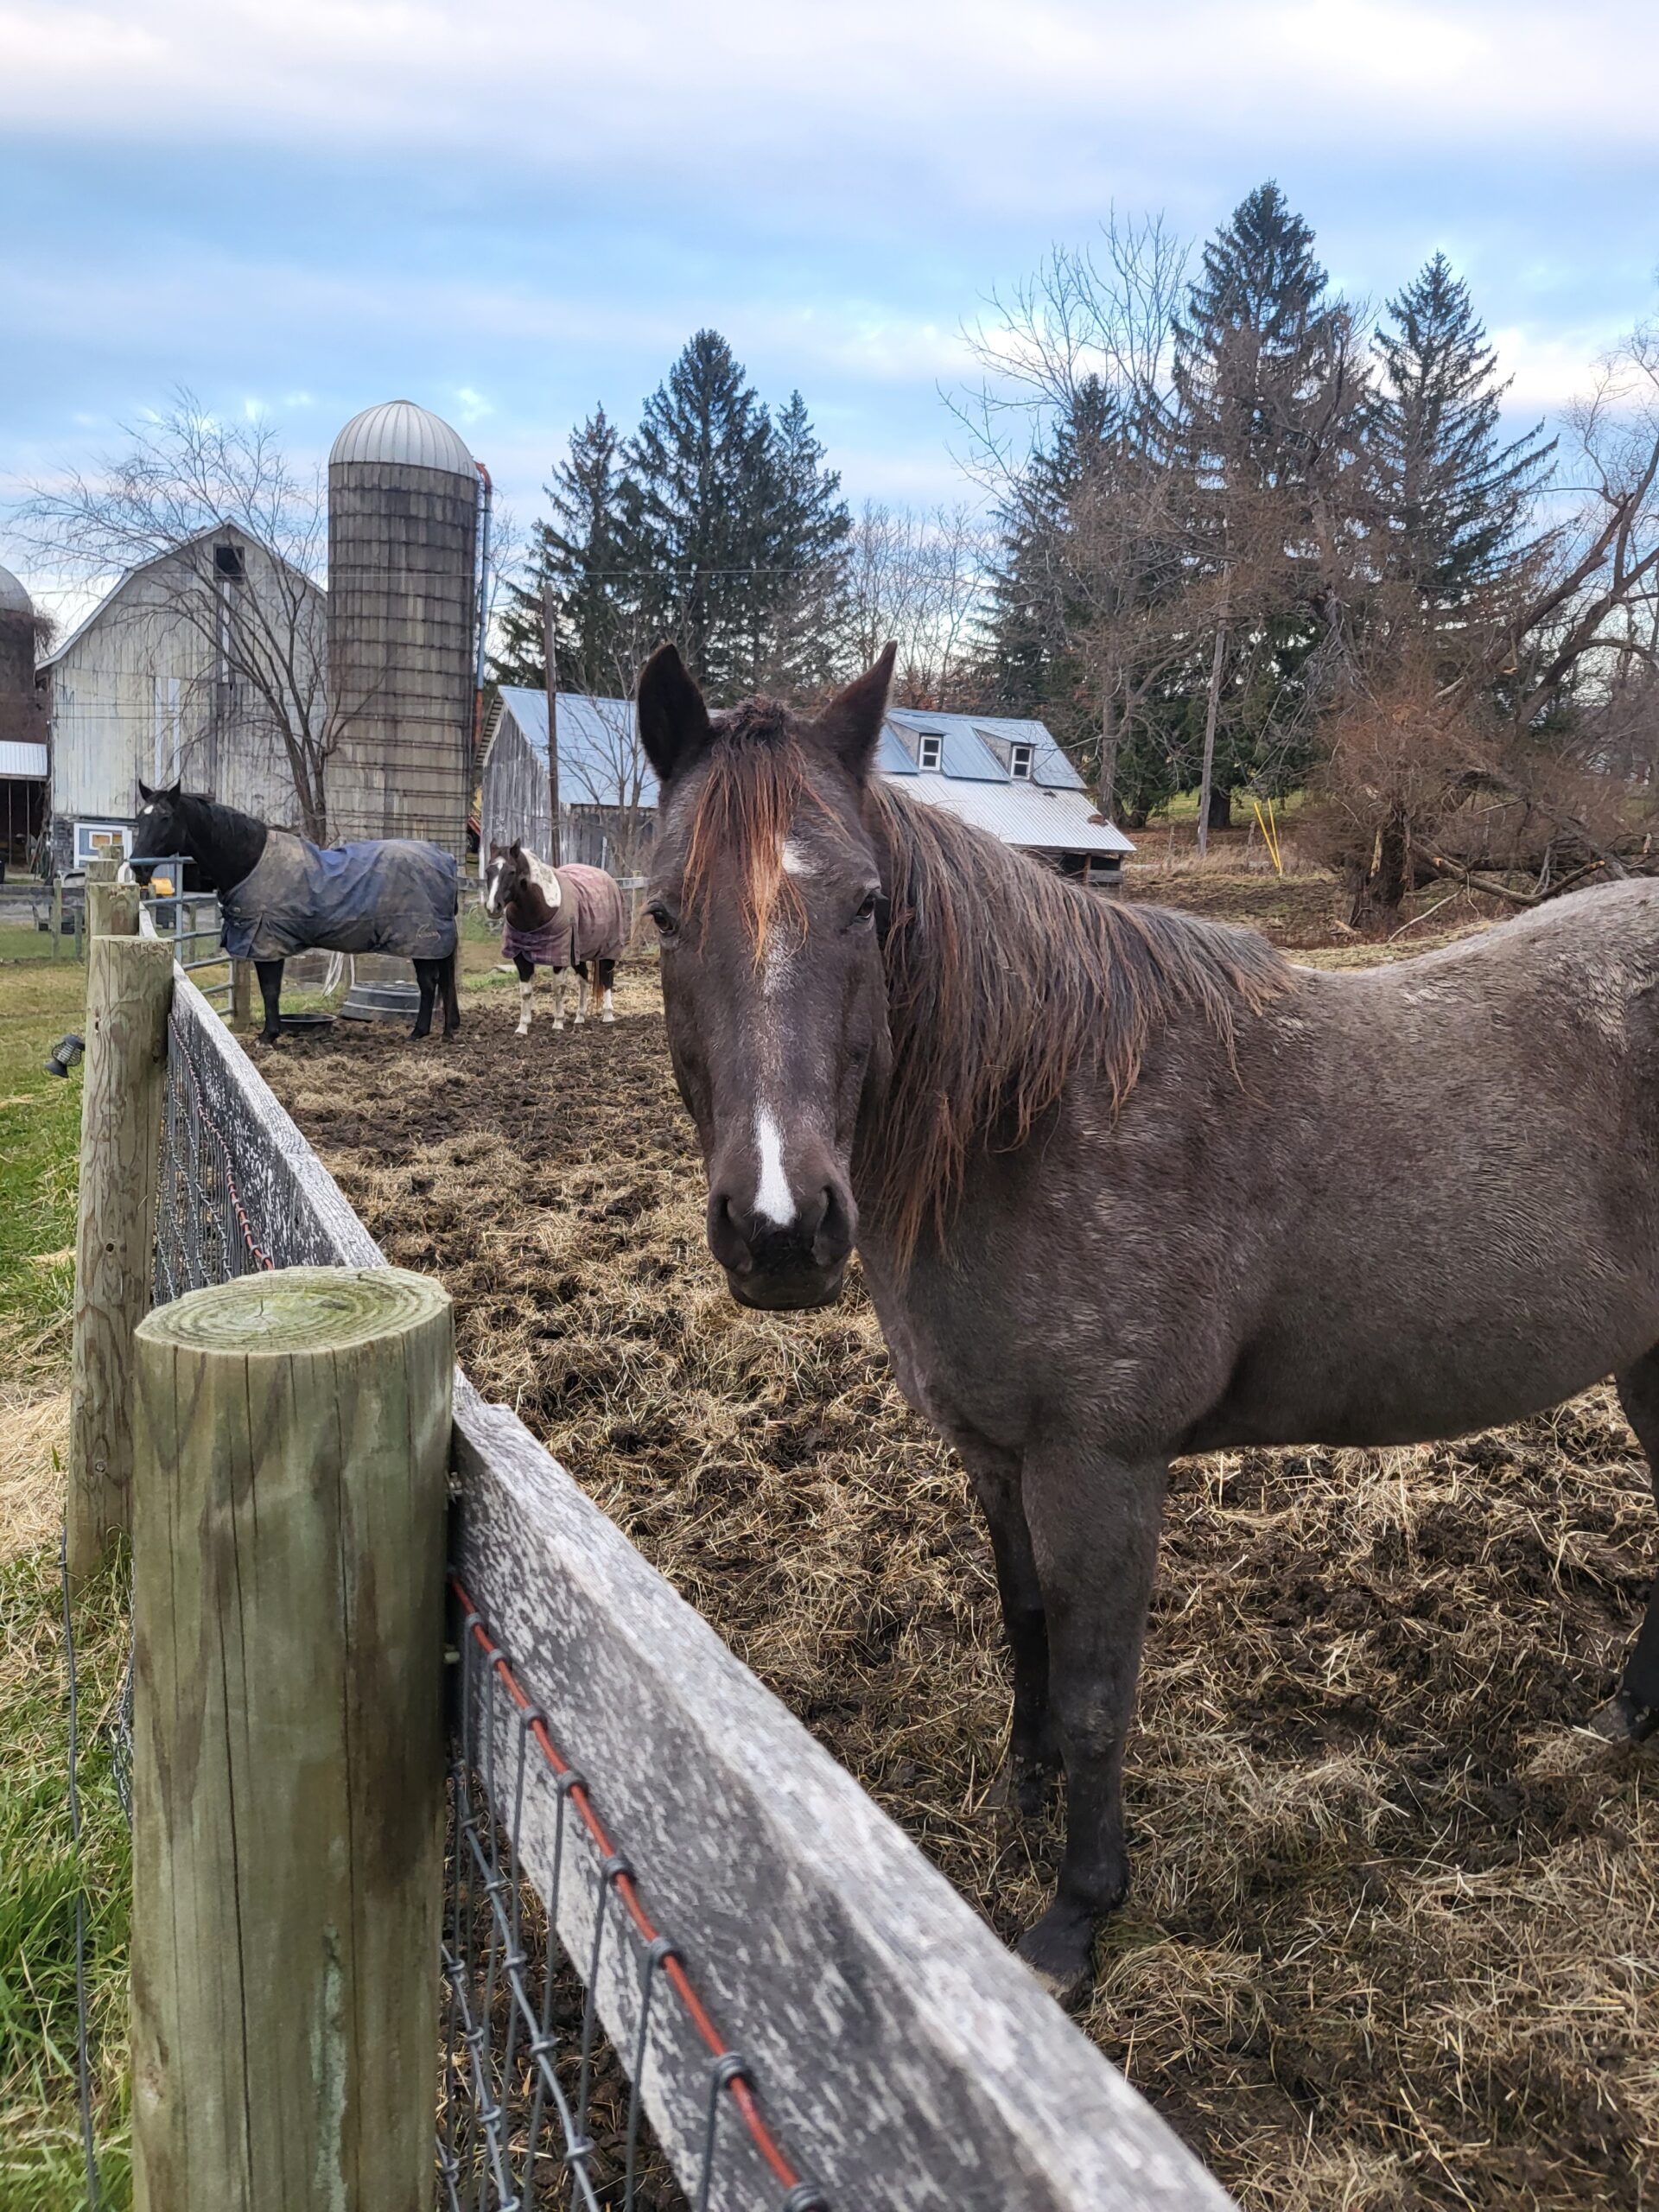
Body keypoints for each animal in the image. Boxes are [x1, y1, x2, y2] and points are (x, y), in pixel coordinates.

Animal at [131, 783, 461, 1044]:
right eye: (138, 818)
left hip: (422, 940)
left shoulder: (267, 942)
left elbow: (269, 990)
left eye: (165, 817)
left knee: (429, 983)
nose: (137, 867)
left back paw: (419, 1032)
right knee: (439, 982)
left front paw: (268, 1035)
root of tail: (444, 858)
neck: (249, 861)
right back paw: (439, 1031)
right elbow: (271, 990)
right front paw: (272, 1032)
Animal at [481, 842, 627, 1036]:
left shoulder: (559, 956)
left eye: (511, 871)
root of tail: (609, 879)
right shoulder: (521, 956)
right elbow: (526, 992)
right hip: (578, 954)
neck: (540, 907)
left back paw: (608, 1015)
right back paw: (580, 1017)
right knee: (583, 980)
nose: (493, 907)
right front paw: (522, 1027)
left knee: (606, 978)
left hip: (608, 950)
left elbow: (558, 988)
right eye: (488, 871)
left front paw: (558, 1023)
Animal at [632, 640, 1659, 2006]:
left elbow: (1094, 1692)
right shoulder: (996, 1451)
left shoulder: (1102, 1467)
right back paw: (1619, 1726)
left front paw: (1076, 1917)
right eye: (662, 912)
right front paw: (1020, 1800)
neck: (1035, 1115)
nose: (783, 1228)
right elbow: (1026, 1631)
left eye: (866, 906)